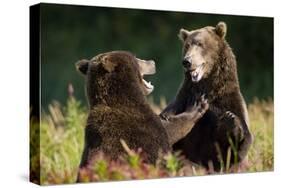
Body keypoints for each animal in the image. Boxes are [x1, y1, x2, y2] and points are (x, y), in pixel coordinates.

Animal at [159, 22, 253, 172]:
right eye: (187, 45)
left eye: (200, 44)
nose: (187, 61)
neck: (208, 89)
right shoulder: (182, 100)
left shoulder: (230, 100)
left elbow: (236, 151)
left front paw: (231, 120)